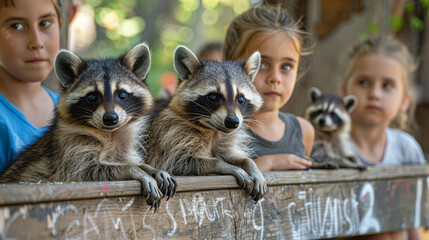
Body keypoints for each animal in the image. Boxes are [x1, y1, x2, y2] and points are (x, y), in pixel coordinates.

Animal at [0, 43, 176, 208]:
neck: (110, 133)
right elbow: (86, 171)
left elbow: (129, 161)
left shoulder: (122, 149)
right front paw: (137, 171)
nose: (110, 118)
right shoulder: (71, 150)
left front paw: (149, 168)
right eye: (92, 97)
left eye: (122, 94)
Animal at [145, 45, 266, 201]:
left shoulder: (224, 140)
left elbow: (235, 156)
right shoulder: (169, 138)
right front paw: (227, 166)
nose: (232, 122)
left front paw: (251, 166)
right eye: (213, 97)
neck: (213, 130)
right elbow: (180, 161)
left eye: (240, 99)